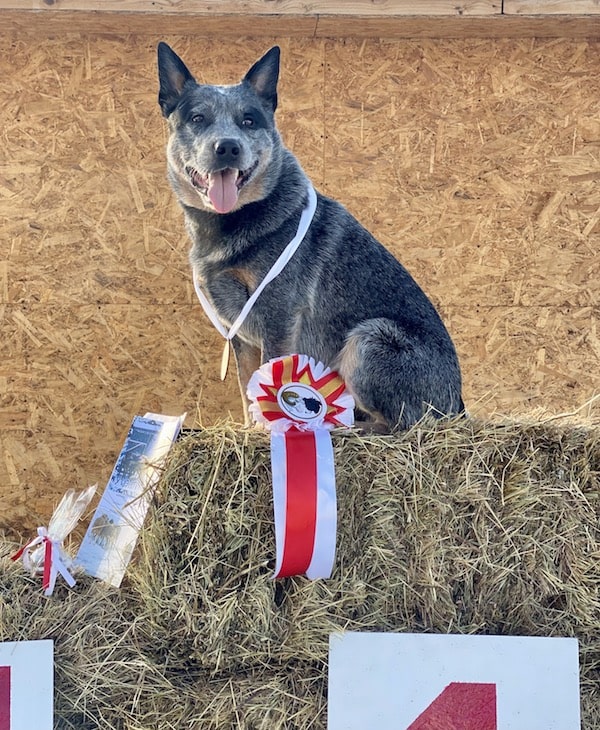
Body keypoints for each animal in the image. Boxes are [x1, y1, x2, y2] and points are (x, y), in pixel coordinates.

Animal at [156, 42, 464, 430]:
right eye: (198, 118)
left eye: (248, 120)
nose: (227, 147)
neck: (234, 222)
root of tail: (459, 407)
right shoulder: (239, 333)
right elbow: (246, 388)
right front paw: (252, 430)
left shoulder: (278, 314)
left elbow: (268, 375)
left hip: (369, 338)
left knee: (399, 425)